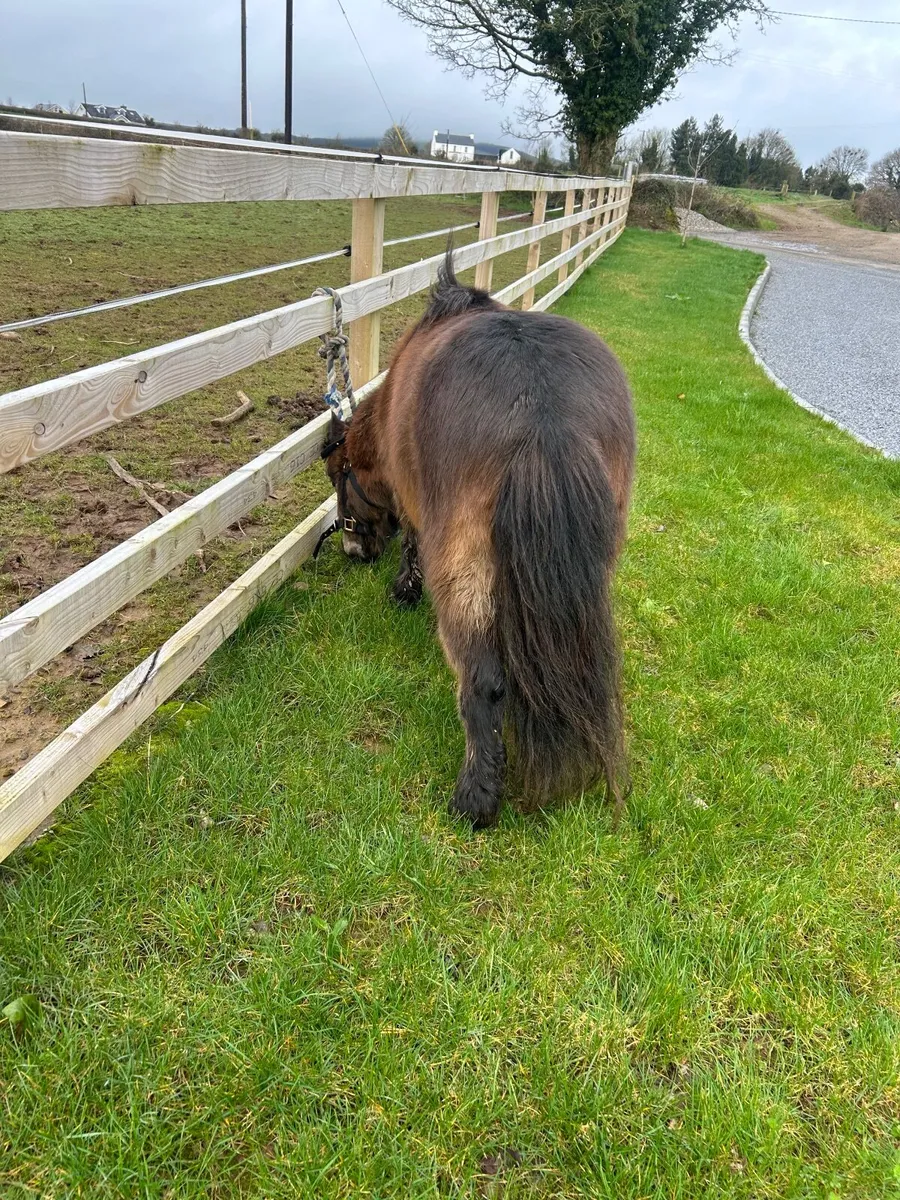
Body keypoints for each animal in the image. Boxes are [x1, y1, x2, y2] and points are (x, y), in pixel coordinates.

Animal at [321, 253, 636, 828]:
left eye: (339, 479)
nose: (353, 552)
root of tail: (543, 414)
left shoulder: (416, 510)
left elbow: (411, 545)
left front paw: (403, 590)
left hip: (463, 571)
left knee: (482, 680)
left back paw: (475, 798)